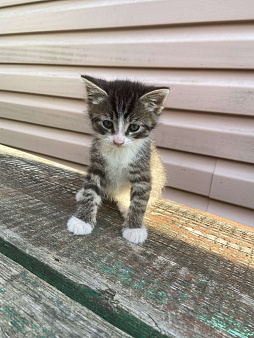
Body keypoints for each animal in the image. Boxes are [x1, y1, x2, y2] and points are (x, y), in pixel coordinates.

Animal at [67, 75, 169, 243]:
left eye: (134, 127)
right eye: (107, 123)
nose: (118, 141)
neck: (118, 152)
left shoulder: (143, 168)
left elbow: (140, 200)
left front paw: (134, 228)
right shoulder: (97, 164)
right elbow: (91, 190)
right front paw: (82, 220)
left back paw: (125, 205)